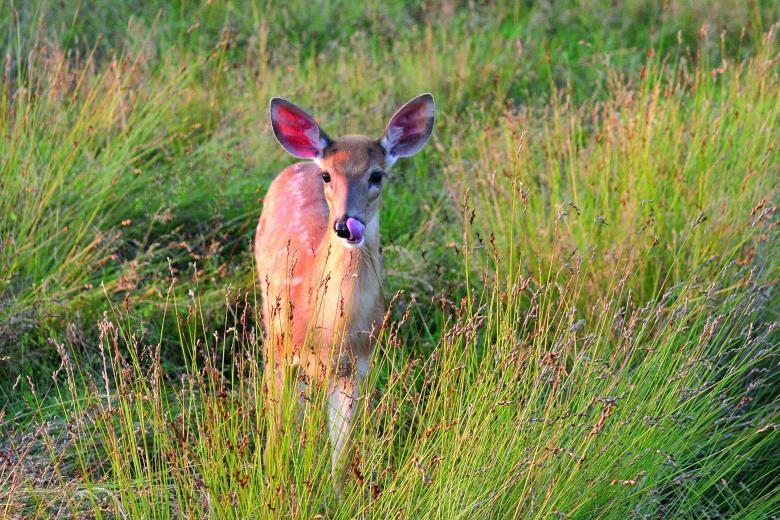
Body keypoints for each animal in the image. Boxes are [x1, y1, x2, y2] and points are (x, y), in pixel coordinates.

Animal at [255, 93, 435, 491]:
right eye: (327, 176)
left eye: (377, 175)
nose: (344, 225)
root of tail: (299, 163)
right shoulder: (281, 348)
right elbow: (277, 428)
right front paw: (273, 482)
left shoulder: (357, 366)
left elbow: (343, 452)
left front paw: (338, 495)